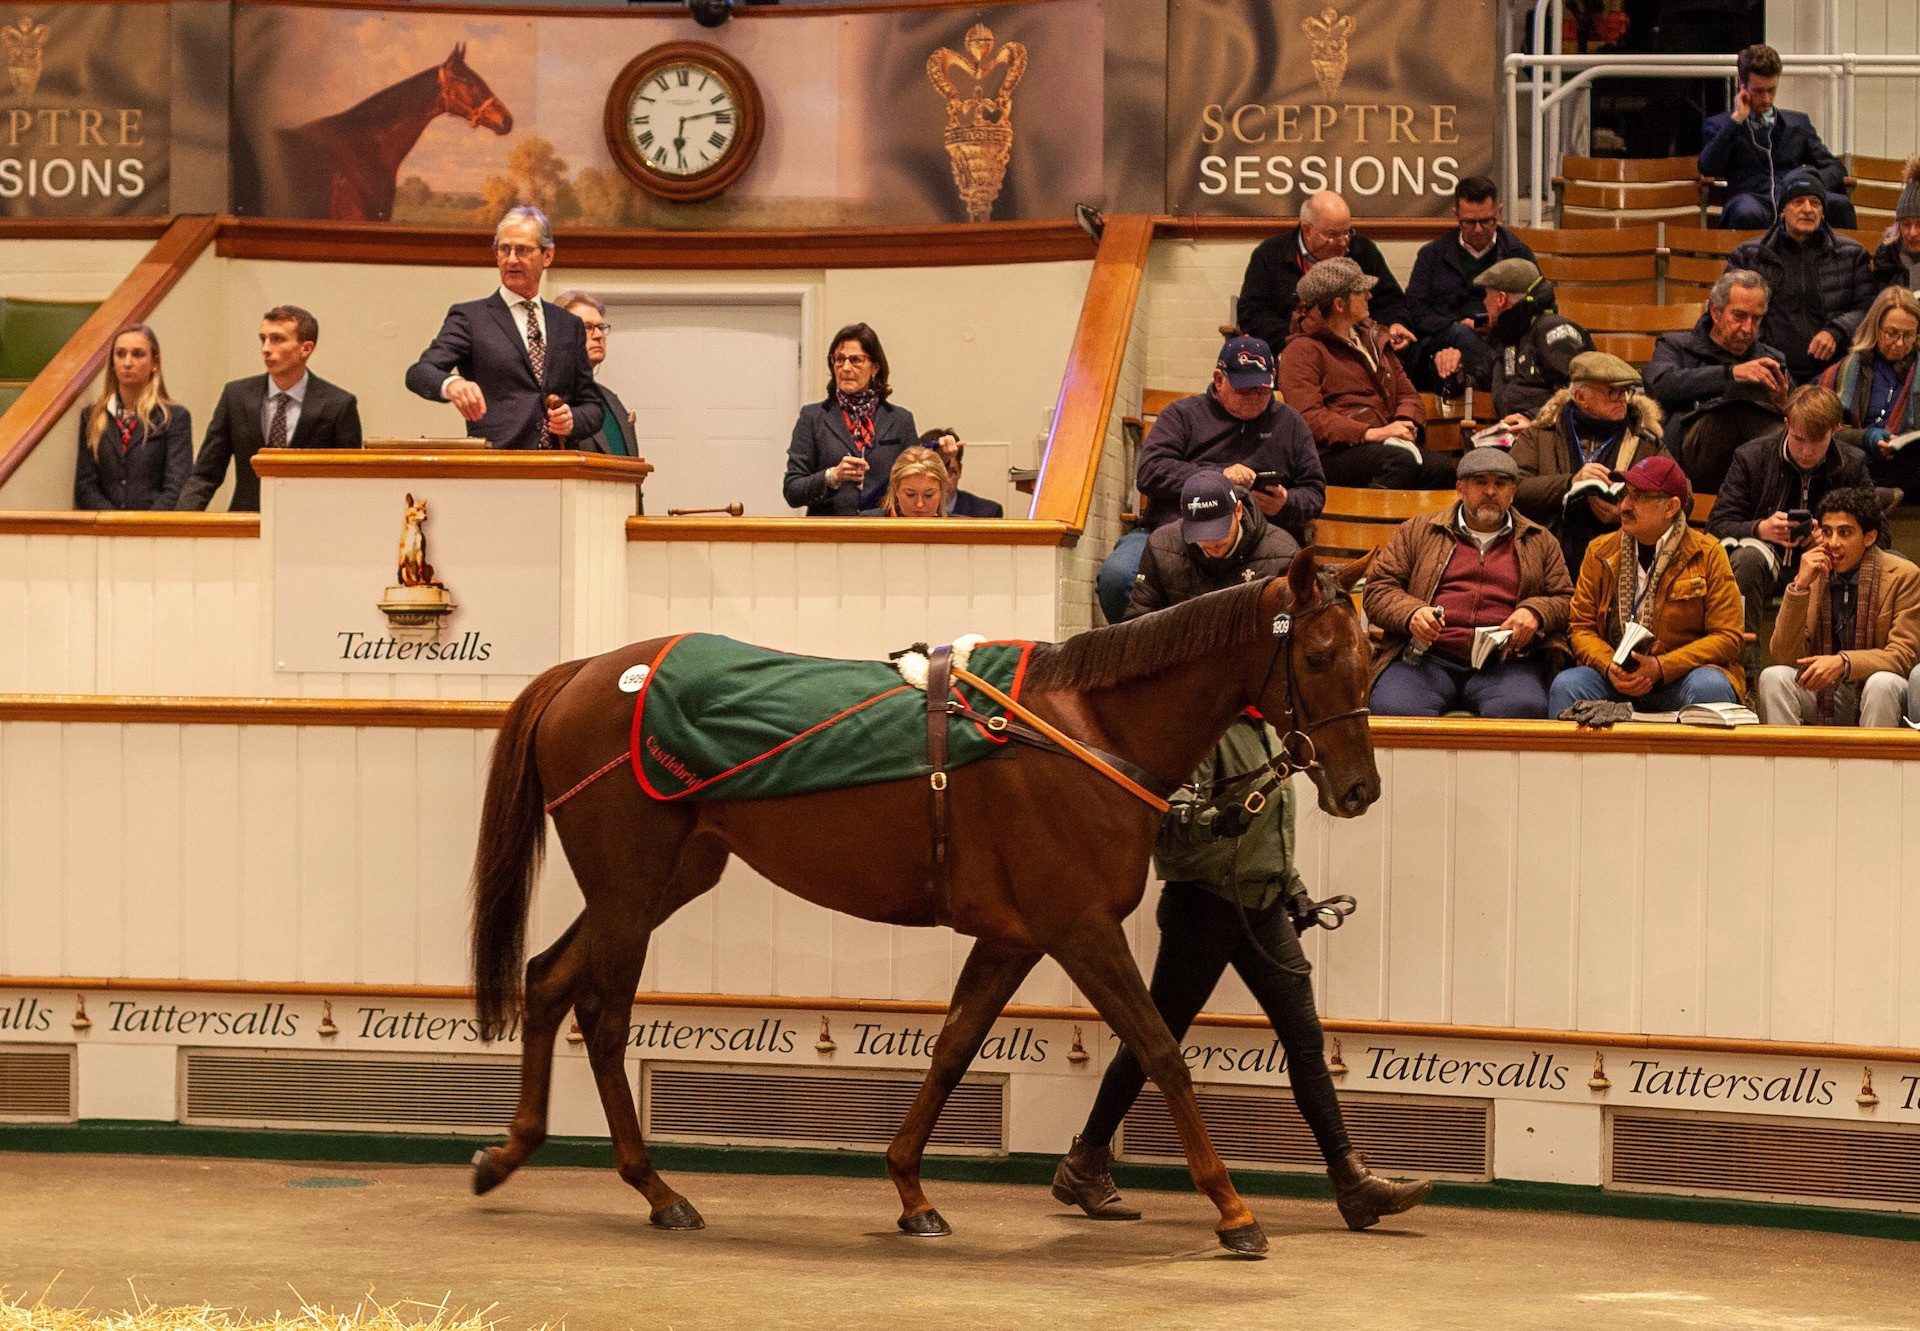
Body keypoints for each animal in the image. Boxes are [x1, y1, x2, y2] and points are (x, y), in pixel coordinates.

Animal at [470, 553, 1374, 1259]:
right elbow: (1160, 1051)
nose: (1360, 788)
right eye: (1320, 654)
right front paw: (1234, 1209)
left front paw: (911, 1190)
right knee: (603, 1015)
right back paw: (656, 1188)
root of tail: (586, 672)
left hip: (666, 878)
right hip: (630, 884)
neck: (1080, 730)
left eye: (1374, 654)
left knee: (547, 979)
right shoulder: (1080, 927)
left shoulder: (1014, 937)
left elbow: (954, 1048)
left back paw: (509, 1152)